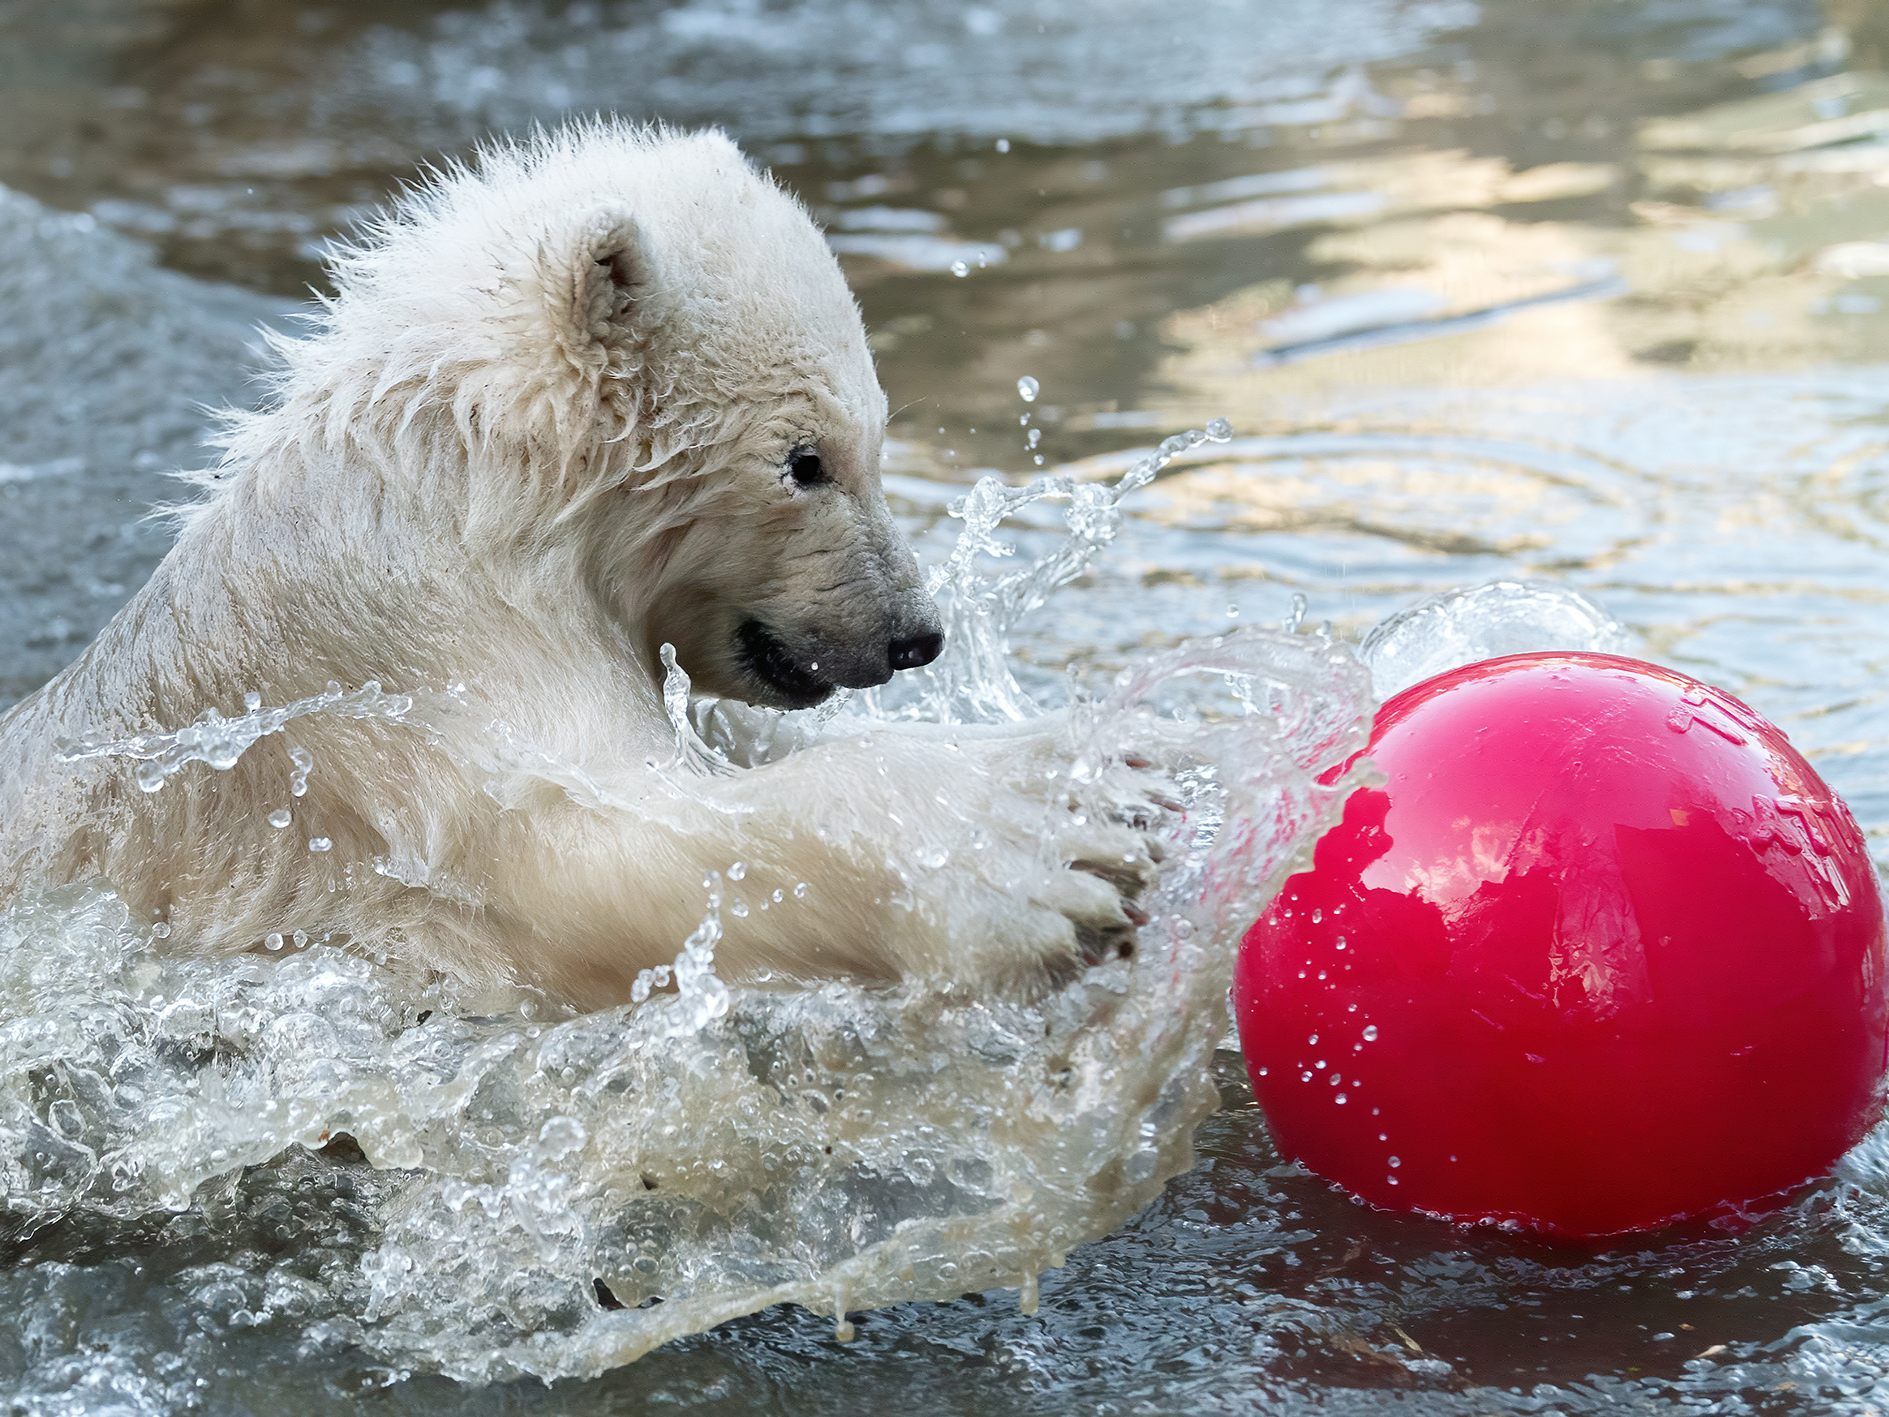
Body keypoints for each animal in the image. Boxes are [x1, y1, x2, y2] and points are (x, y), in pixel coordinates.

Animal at [0, 121, 1156, 1012]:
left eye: (877, 436)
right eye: (806, 460)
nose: (913, 633)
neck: (467, 492)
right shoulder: (403, 672)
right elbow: (585, 853)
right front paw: (1037, 846)